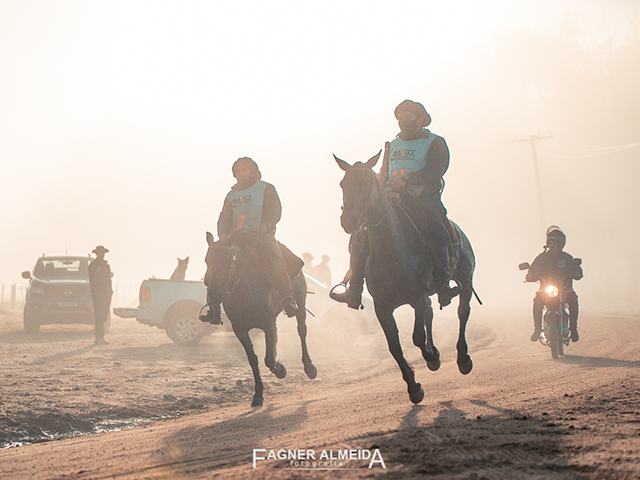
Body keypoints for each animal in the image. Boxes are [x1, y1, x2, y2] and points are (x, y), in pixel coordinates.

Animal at [204, 232, 316, 404]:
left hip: (300, 304)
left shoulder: (269, 324)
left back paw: (309, 368)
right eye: (207, 260)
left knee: (301, 331)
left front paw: (280, 370)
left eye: (228, 259)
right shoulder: (240, 330)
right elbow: (253, 359)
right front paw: (258, 393)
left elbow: (269, 359)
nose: (214, 294)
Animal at [338, 152, 478, 404]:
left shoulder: (417, 297)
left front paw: (431, 357)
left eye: (367, 182)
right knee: (432, 312)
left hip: (466, 280)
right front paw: (414, 386)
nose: (349, 221)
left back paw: (462, 359)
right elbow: (395, 347)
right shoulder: (383, 307)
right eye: (343, 184)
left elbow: (417, 337)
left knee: (463, 311)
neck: (391, 248)